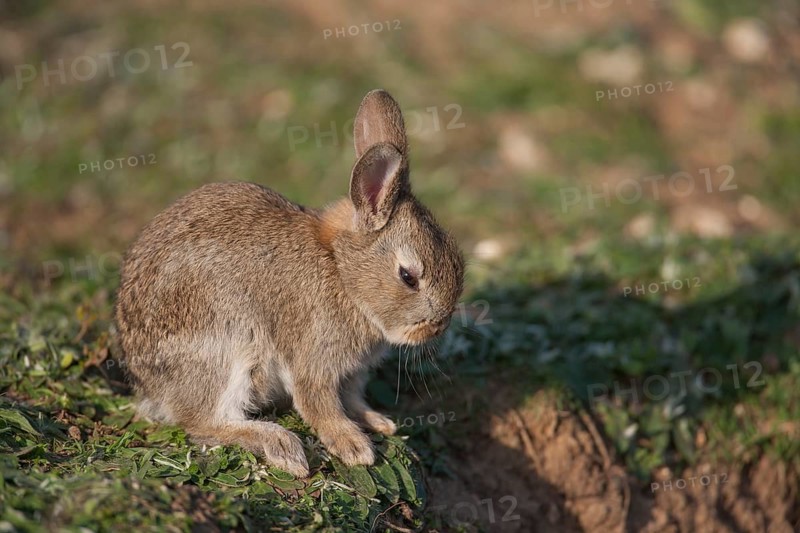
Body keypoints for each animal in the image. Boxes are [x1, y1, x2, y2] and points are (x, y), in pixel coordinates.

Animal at [114, 89, 465, 477]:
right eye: (408, 276)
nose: (438, 326)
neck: (341, 270)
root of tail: (149, 386)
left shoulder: (352, 373)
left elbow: (352, 398)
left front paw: (378, 422)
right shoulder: (314, 357)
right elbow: (318, 403)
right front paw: (354, 447)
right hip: (226, 350)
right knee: (203, 422)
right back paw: (282, 445)